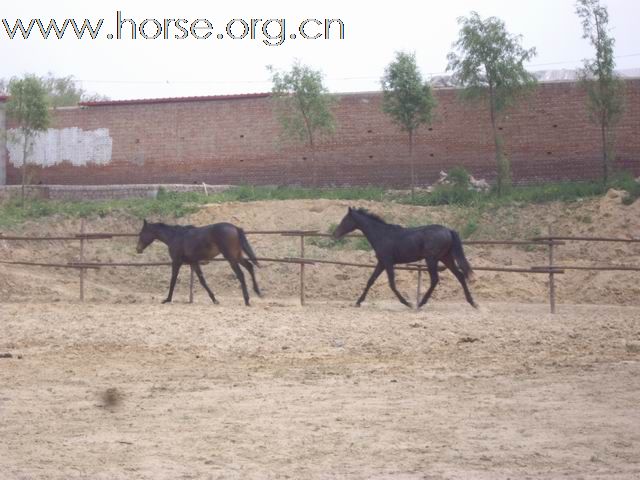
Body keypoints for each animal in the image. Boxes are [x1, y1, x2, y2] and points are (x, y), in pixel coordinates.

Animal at [332, 208, 478, 310]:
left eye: (345, 220)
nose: (334, 234)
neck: (382, 234)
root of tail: (448, 230)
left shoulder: (388, 262)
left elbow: (392, 284)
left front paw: (407, 303)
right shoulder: (381, 263)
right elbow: (370, 281)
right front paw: (358, 302)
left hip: (432, 259)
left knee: (435, 279)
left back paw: (420, 304)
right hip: (445, 258)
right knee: (460, 276)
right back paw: (472, 303)